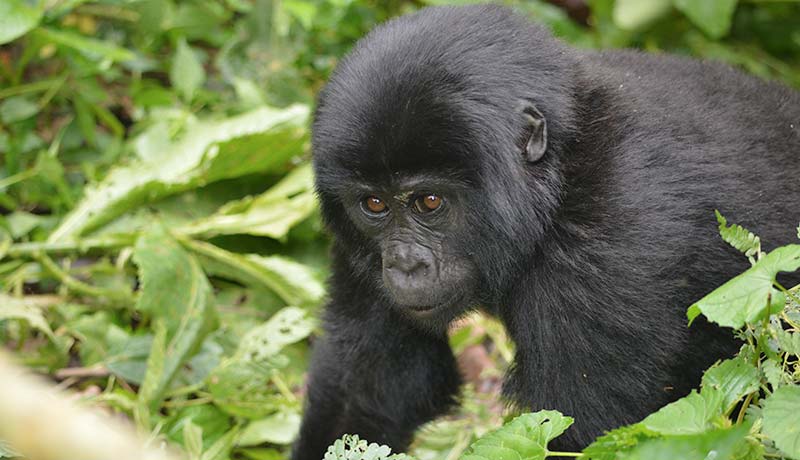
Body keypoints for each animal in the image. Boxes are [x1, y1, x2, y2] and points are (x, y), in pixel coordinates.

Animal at [292, 4, 800, 460]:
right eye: (374, 204)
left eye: (429, 202)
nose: (404, 264)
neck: (563, 170)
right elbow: (370, 389)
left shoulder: (609, 243)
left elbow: (582, 432)